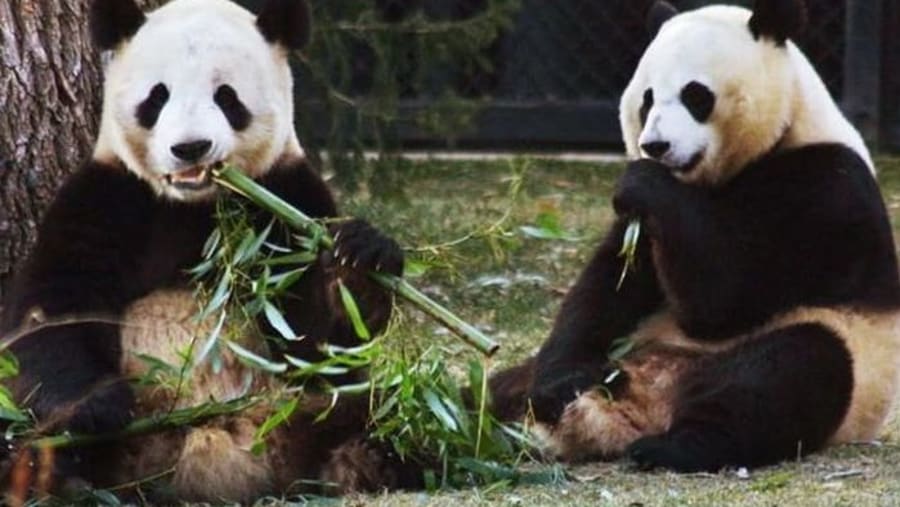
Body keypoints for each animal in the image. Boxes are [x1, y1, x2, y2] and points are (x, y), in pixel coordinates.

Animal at [0, 0, 412, 501]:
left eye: (227, 98)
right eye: (157, 97)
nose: (191, 147)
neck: (194, 205)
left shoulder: (287, 198)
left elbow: (314, 340)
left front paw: (359, 258)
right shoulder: (107, 198)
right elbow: (50, 313)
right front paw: (98, 405)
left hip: (304, 409)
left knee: (385, 408)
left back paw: (367, 458)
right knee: (33, 441)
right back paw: (61, 474)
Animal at [505, 0, 900, 472]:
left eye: (696, 95)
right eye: (647, 99)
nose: (655, 146)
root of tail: (644, 406)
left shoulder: (827, 188)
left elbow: (726, 298)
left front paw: (645, 180)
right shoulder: (643, 229)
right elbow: (607, 285)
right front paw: (561, 382)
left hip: (840, 359)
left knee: (785, 372)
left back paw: (676, 445)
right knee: (496, 389)